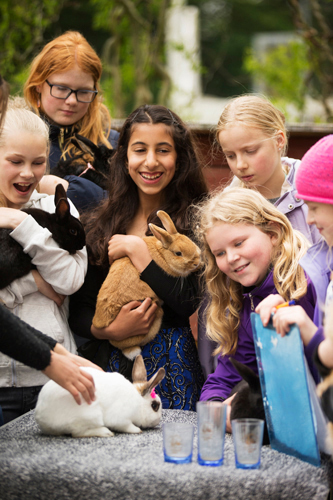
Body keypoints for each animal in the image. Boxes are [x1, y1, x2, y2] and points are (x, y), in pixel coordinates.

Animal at [35, 356, 165, 438]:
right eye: (155, 406)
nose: (158, 420)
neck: (138, 402)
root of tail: (41, 418)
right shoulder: (120, 419)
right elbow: (126, 426)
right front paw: (137, 430)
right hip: (89, 416)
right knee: (77, 433)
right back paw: (105, 432)